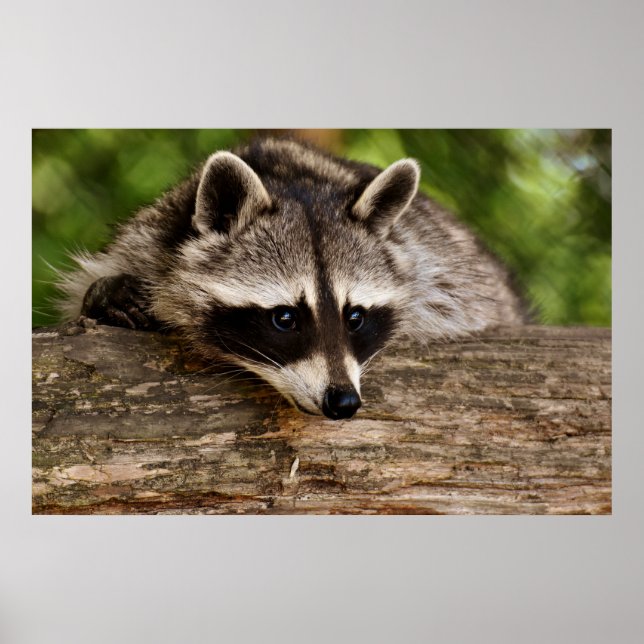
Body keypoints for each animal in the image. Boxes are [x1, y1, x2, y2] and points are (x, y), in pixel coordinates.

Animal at [58, 137, 526, 419]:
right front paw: (106, 295)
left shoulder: (440, 268)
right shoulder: (147, 239)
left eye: (355, 317)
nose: (343, 402)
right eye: (285, 318)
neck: (292, 177)